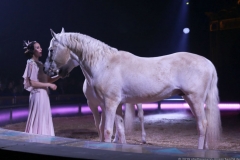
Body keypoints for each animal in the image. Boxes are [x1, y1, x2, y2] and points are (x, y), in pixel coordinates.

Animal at [44, 28, 221, 149]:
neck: (104, 63)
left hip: (194, 98)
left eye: (51, 50)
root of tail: (208, 62)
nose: (47, 70)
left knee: (202, 124)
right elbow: (120, 131)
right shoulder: (115, 105)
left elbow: (107, 130)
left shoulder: (109, 104)